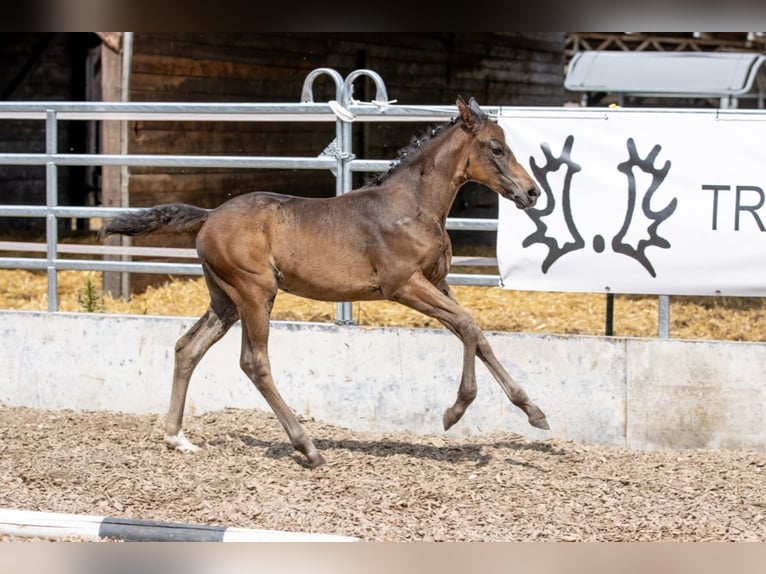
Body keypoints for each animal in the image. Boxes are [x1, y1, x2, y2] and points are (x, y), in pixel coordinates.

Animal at [105, 97, 552, 470]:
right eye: (496, 148)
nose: (531, 192)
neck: (413, 207)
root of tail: (210, 215)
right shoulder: (404, 286)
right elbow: (467, 325)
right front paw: (455, 411)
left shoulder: (437, 284)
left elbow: (476, 335)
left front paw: (533, 410)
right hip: (255, 293)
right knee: (254, 362)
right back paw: (308, 448)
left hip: (225, 301)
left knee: (188, 347)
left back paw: (176, 437)